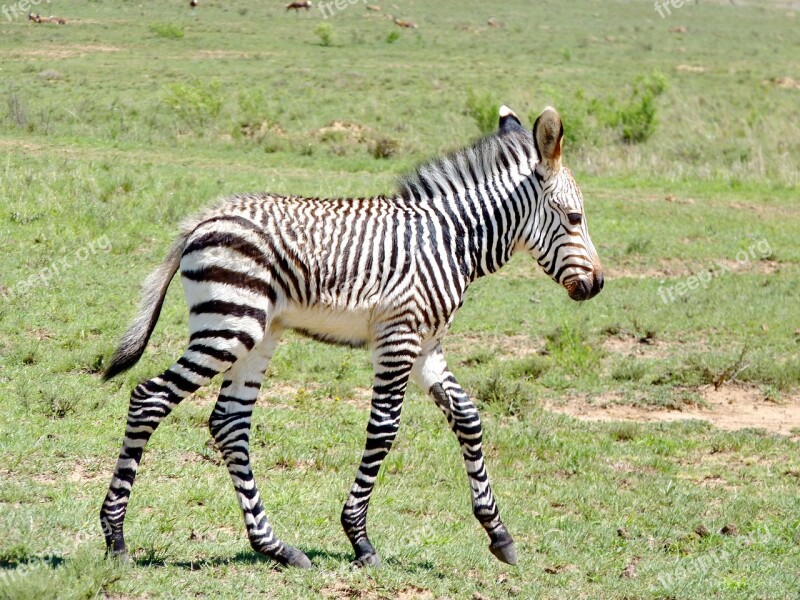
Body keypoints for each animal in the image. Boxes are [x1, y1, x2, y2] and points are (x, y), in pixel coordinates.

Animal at [98, 105, 600, 568]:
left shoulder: (427, 344)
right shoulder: (399, 336)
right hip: (229, 326)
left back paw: (275, 547)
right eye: (575, 218)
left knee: (229, 422)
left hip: (258, 332)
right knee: (150, 398)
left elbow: (468, 418)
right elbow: (384, 429)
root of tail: (201, 222)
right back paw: (116, 539)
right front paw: (359, 538)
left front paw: (499, 533)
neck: (451, 240)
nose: (596, 285)